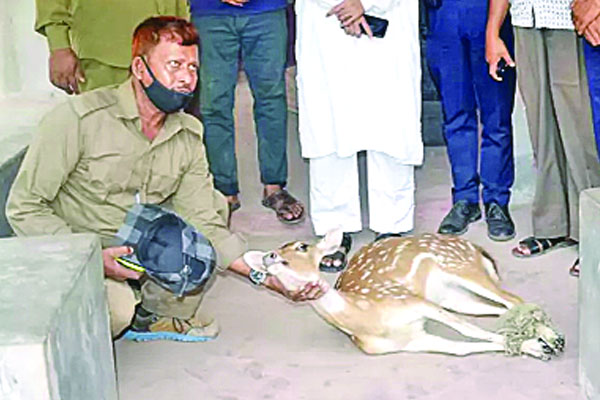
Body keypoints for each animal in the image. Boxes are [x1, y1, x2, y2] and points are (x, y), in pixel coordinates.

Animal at [243, 231, 564, 360]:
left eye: (301, 247)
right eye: (275, 251)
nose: (271, 256)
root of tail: (477, 249)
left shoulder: (413, 300)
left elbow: (467, 330)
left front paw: (538, 346)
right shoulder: (414, 341)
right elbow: (461, 349)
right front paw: (534, 348)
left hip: (462, 268)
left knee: (513, 300)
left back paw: (555, 338)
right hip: (453, 296)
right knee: (504, 308)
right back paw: (547, 339)